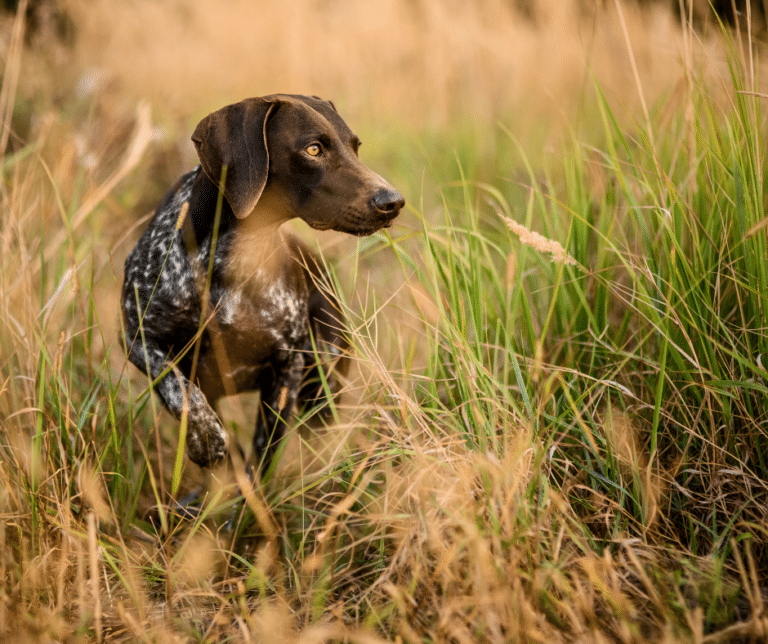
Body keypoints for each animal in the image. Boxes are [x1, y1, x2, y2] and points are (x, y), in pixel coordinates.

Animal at [120, 97, 404, 478]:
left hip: (323, 387)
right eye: (314, 149)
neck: (227, 260)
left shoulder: (286, 368)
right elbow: (179, 387)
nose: (393, 202)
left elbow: (262, 455)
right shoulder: (139, 337)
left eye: (355, 147)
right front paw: (204, 439)